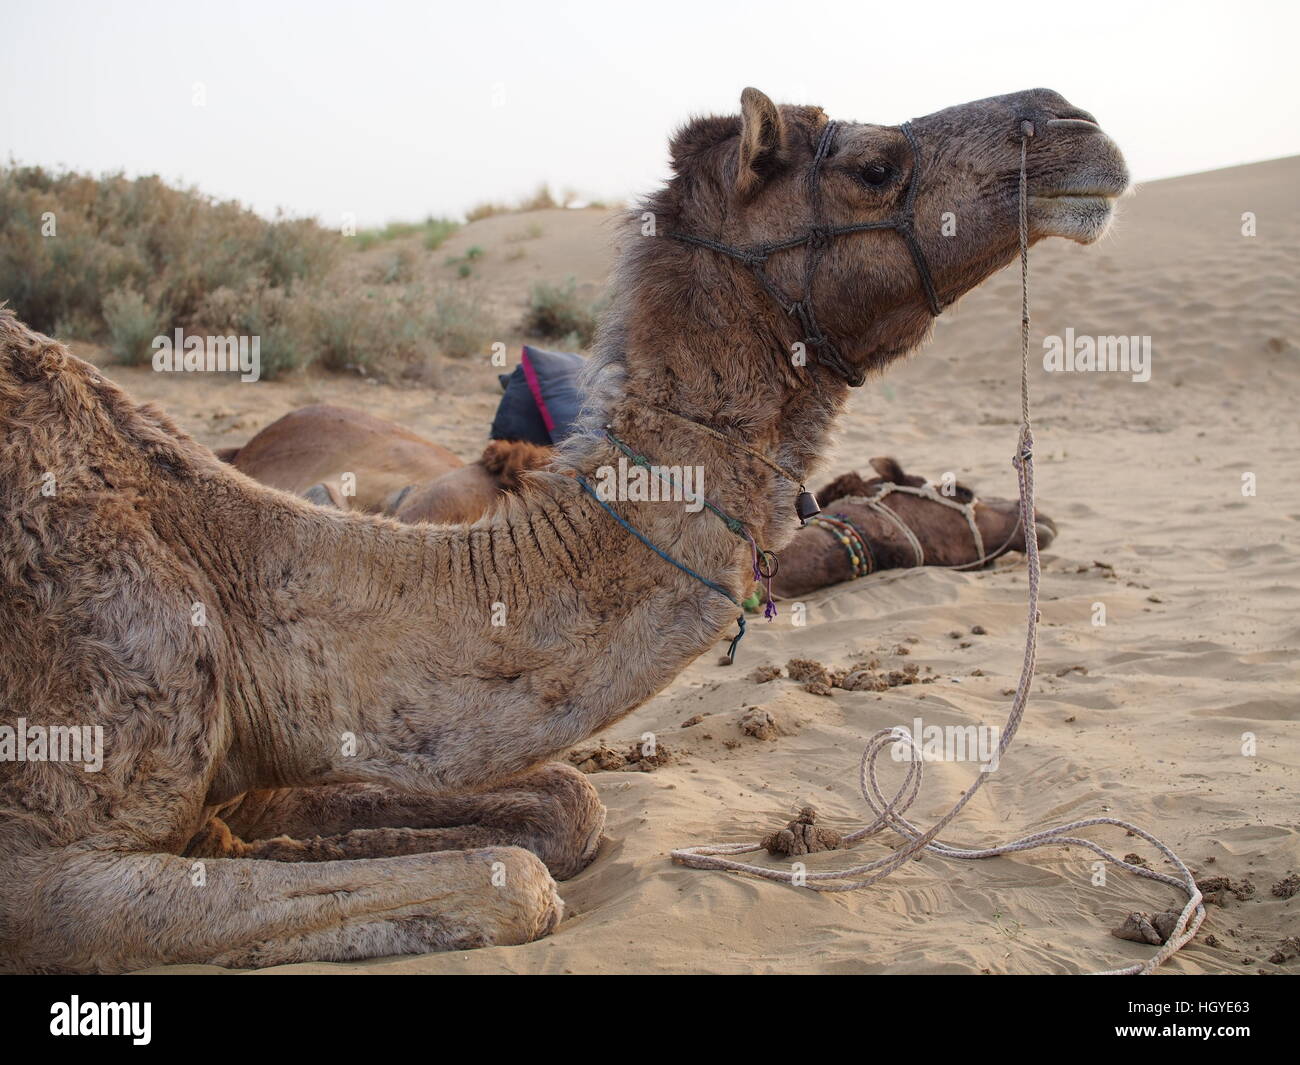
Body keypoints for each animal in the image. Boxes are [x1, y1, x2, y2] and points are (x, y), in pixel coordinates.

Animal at [0, 87, 1128, 972]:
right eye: (872, 165)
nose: (1077, 124)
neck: (221, 567)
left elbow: (564, 808)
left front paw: (272, 840)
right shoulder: (42, 865)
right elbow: (512, 881)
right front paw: (268, 854)